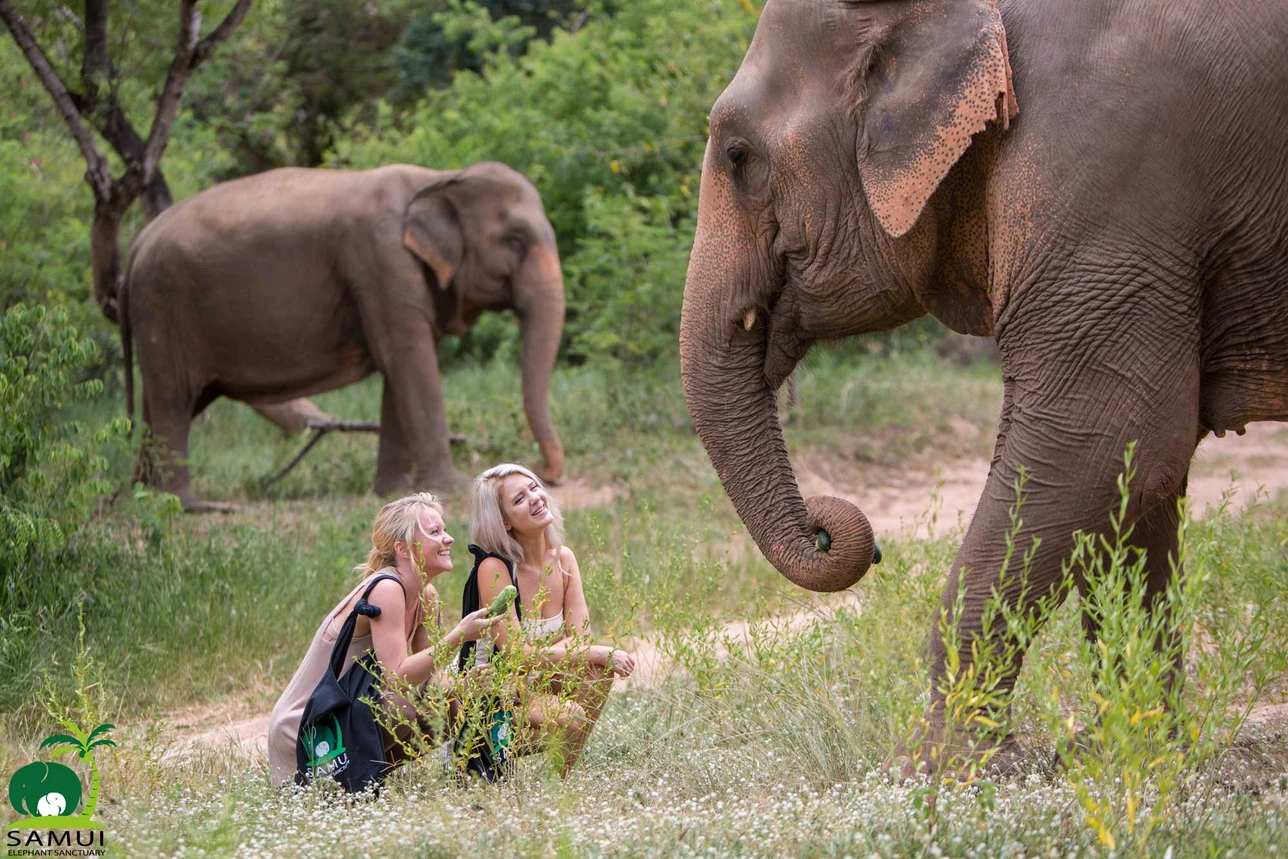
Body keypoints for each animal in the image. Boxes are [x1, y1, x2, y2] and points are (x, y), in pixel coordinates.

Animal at [122, 161, 565, 510]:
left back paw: (142, 495)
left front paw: (392, 491)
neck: (439, 178)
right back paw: (189, 505)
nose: (545, 473)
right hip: (164, 304)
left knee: (162, 402)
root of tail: (138, 241)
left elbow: (399, 372)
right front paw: (452, 487)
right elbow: (409, 360)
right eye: (516, 240)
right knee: (173, 399)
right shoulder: (382, 263)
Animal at [679, 0, 1288, 773]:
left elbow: (1107, 435)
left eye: (738, 157)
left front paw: (945, 768)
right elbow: (1137, 473)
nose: (834, 529)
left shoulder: (1103, 170)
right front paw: (1131, 752)